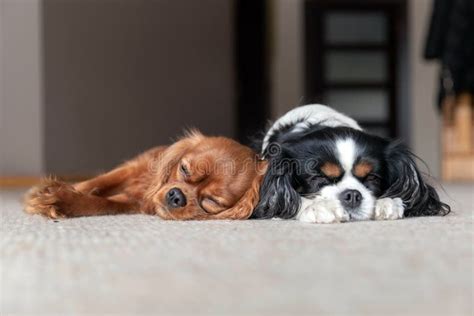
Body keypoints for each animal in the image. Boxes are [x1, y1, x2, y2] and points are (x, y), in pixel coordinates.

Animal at [25, 131, 266, 220]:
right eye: (184, 169)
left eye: (212, 201)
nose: (176, 196)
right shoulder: (133, 167)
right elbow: (98, 181)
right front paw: (52, 189)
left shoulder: (133, 201)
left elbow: (101, 203)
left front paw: (60, 200)